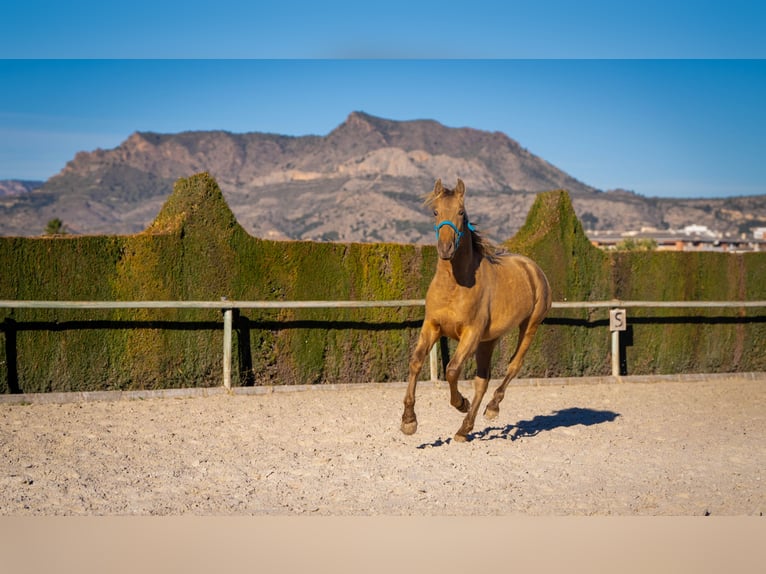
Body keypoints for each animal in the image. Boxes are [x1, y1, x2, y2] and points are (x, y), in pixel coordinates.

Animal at [402, 180, 552, 446]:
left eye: (461, 212)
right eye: (435, 211)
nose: (446, 248)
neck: (454, 284)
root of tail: (534, 269)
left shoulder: (470, 333)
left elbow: (452, 370)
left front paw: (460, 402)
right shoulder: (432, 326)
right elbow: (416, 362)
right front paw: (409, 421)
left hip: (529, 326)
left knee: (513, 366)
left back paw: (491, 408)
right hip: (488, 340)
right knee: (483, 380)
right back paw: (464, 429)